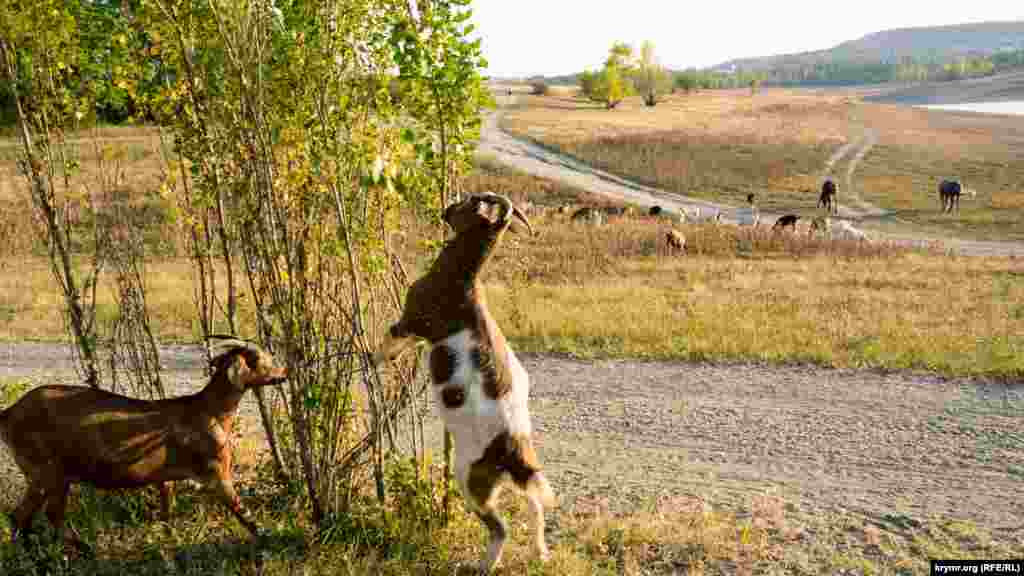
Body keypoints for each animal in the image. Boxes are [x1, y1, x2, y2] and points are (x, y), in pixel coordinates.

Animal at [2, 338, 288, 545]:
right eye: (260, 359)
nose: (284, 374)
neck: (210, 412)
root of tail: (9, 413)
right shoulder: (216, 471)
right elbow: (242, 511)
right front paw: (269, 539)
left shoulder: (165, 478)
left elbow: (167, 513)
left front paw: (169, 542)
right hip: (44, 470)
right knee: (27, 516)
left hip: (56, 477)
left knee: (38, 516)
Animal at [372, 191, 557, 569]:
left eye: (473, 201)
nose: (446, 209)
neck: (461, 280)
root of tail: (511, 448)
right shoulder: (415, 332)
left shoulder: (410, 321)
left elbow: (390, 339)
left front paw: (371, 359)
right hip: (512, 481)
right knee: (534, 505)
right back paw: (540, 552)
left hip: (470, 480)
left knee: (500, 527)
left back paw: (483, 566)